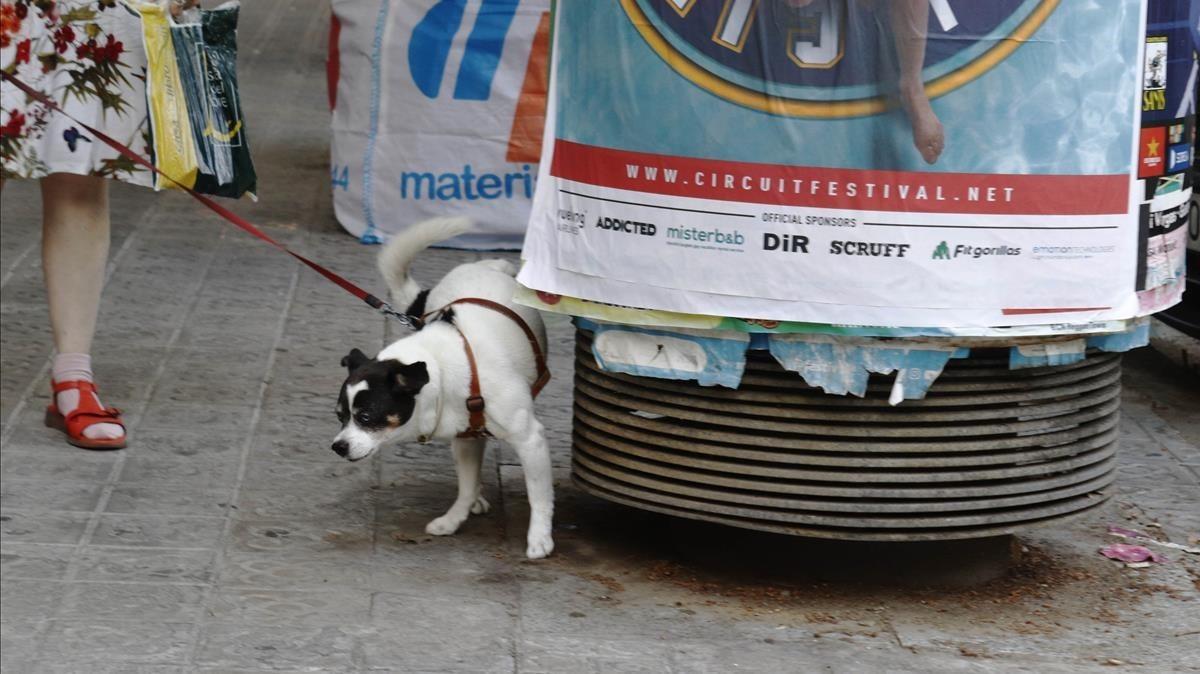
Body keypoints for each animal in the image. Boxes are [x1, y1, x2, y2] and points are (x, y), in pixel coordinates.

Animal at [328, 214, 552, 556]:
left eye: (365, 417)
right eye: (340, 417)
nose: (338, 447)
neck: (445, 369)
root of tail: (490, 266)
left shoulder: (530, 440)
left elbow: (538, 494)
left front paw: (540, 538)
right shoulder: (464, 438)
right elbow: (466, 486)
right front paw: (454, 519)